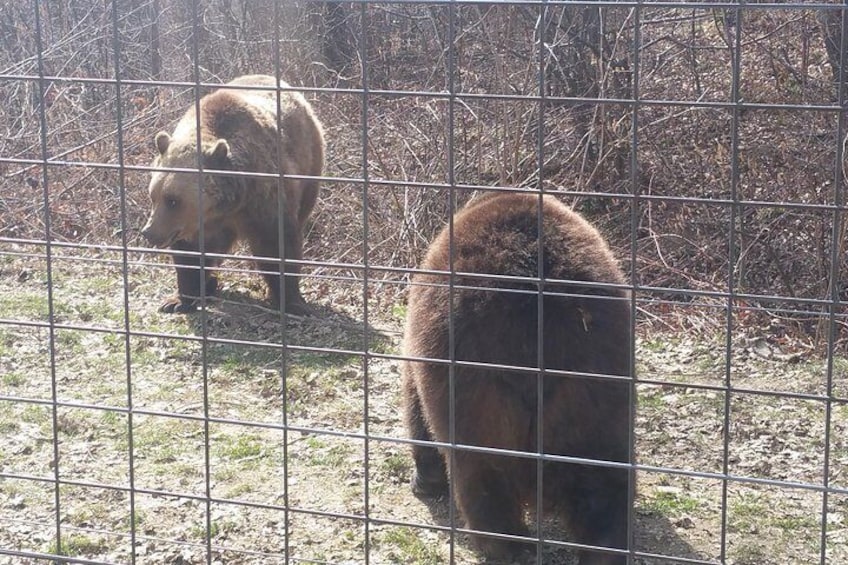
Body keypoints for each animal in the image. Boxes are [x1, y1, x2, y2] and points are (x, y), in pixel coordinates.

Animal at [141, 73, 322, 316]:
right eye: (153, 196)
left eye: (173, 200)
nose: (149, 232)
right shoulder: (196, 225)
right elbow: (190, 255)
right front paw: (177, 300)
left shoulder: (264, 199)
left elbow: (277, 245)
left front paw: (293, 301)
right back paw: (209, 284)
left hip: (309, 164)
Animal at [402, 192, 628, 560]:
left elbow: (415, 407)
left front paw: (425, 479)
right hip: (592, 375)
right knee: (600, 477)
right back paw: (604, 546)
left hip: (475, 377)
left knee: (483, 472)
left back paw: (504, 544)